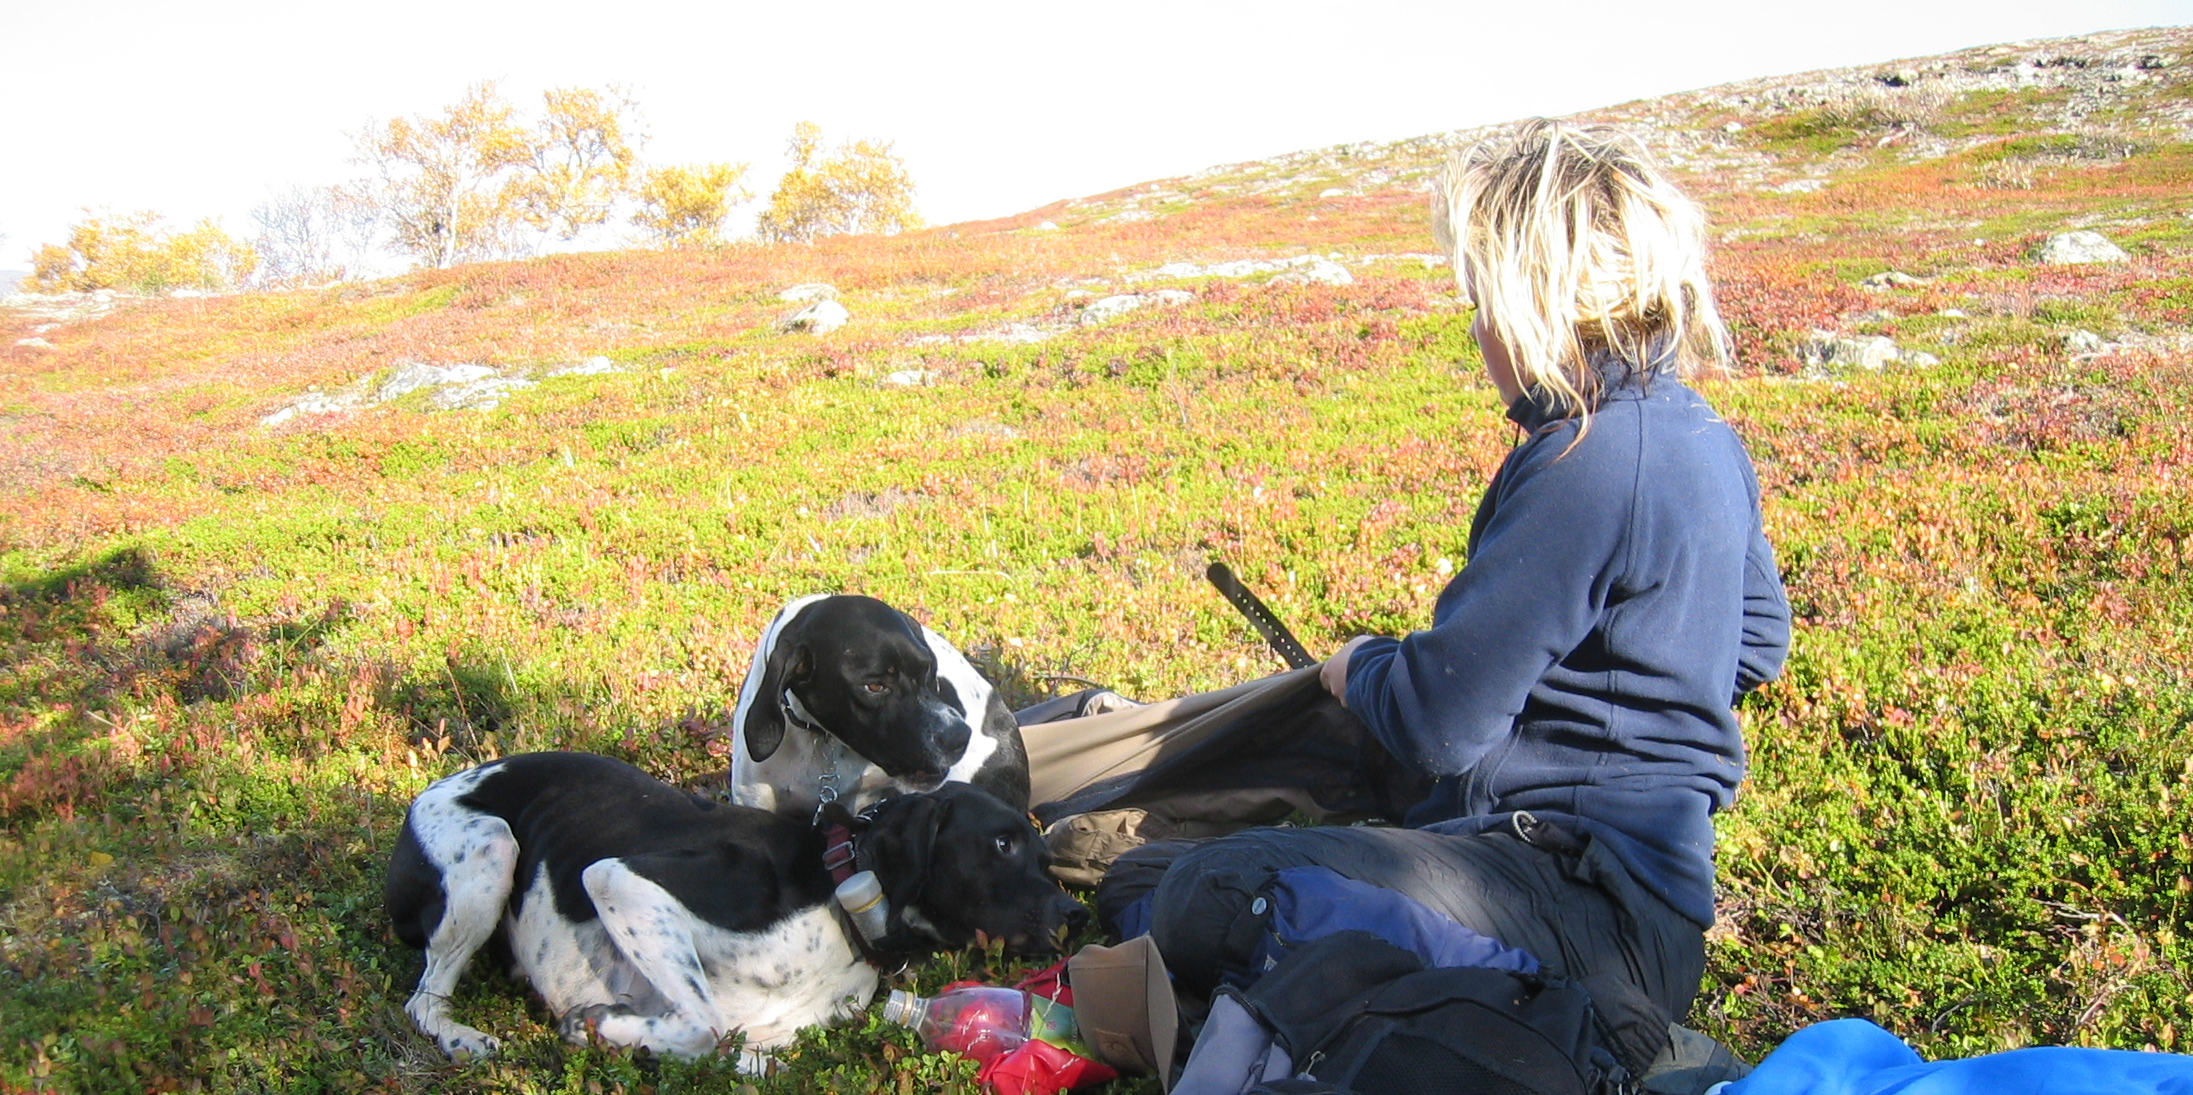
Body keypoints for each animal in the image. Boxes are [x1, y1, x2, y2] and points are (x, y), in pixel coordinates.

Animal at [392, 750, 1087, 1066]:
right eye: (1002, 844)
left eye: (1045, 855)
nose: (1077, 917)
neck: (842, 902)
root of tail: (430, 790)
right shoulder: (621, 880)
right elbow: (703, 1022)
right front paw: (599, 1025)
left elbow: (735, 1049)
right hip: (491, 851)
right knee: (423, 999)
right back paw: (460, 1035)